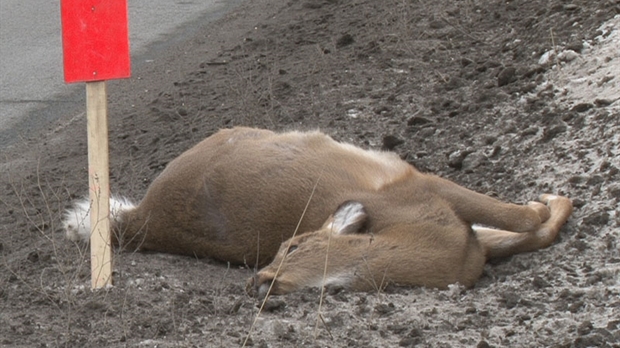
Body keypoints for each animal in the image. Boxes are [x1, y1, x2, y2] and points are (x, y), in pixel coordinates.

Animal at [63, 126, 572, 294]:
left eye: (289, 245)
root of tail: (142, 218)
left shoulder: (469, 238)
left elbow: (531, 235)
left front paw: (553, 205)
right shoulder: (420, 186)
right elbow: (526, 219)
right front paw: (550, 198)